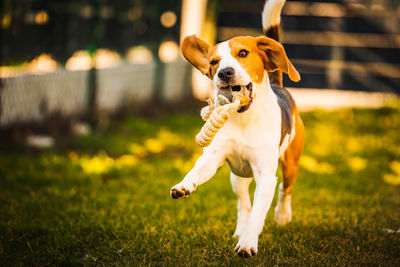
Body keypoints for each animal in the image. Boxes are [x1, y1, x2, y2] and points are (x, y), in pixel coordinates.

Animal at [170, 0, 304, 258]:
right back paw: (240, 228)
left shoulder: (265, 176)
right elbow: (196, 171)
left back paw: (282, 216)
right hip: (238, 176)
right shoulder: (213, 157)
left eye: (243, 53)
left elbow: (259, 212)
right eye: (214, 62)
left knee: (286, 189)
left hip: (290, 164)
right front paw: (183, 185)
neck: (244, 119)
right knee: (243, 203)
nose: (225, 73)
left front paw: (248, 243)